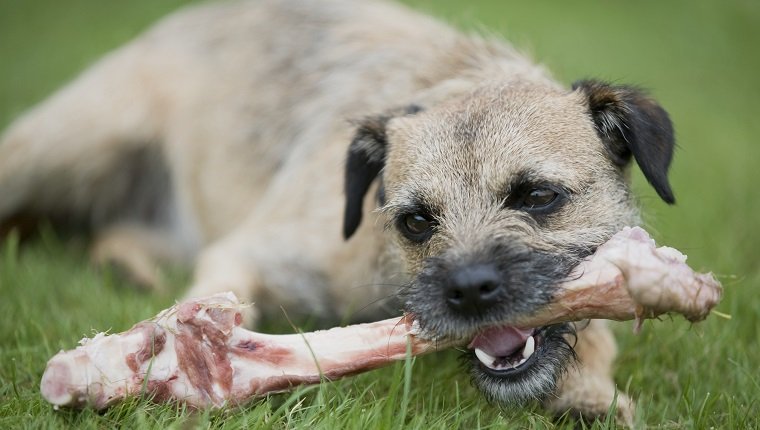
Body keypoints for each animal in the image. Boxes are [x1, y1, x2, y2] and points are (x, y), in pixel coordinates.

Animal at [1, 0, 676, 424]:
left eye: (537, 197)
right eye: (415, 222)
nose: (467, 288)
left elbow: (596, 337)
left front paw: (589, 395)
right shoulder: (251, 249)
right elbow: (221, 291)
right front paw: (191, 353)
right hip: (65, 144)